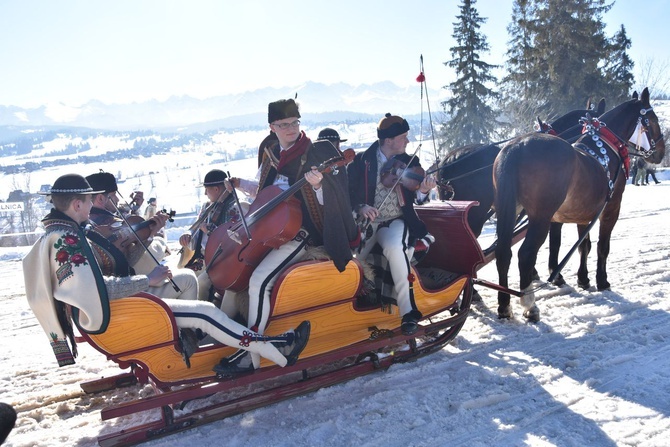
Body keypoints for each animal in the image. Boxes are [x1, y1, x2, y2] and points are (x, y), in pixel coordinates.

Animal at [494, 89, 668, 322]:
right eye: (653, 119)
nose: (660, 152)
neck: (605, 150)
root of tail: (517, 146)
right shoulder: (611, 209)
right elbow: (603, 246)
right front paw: (602, 280)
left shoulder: (584, 213)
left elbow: (583, 246)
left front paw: (583, 279)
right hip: (540, 218)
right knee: (525, 255)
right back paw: (530, 305)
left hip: (510, 212)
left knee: (503, 253)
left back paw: (505, 305)